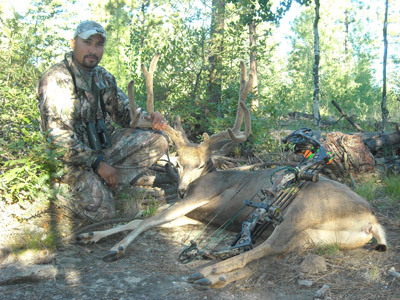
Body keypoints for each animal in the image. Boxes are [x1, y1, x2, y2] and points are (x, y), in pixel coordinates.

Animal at [76, 55, 388, 290]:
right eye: (177, 163)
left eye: (201, 164)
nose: (181, 189)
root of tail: (372, 221)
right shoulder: (194, 212)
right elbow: (142, 219)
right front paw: (90, 236)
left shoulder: (201, 195)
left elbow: (146, 220)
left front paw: (116, 248)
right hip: (314, 238)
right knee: (268, 253)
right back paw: (217, 276)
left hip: (300, 213)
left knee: (264, 246)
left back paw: (206, 272)